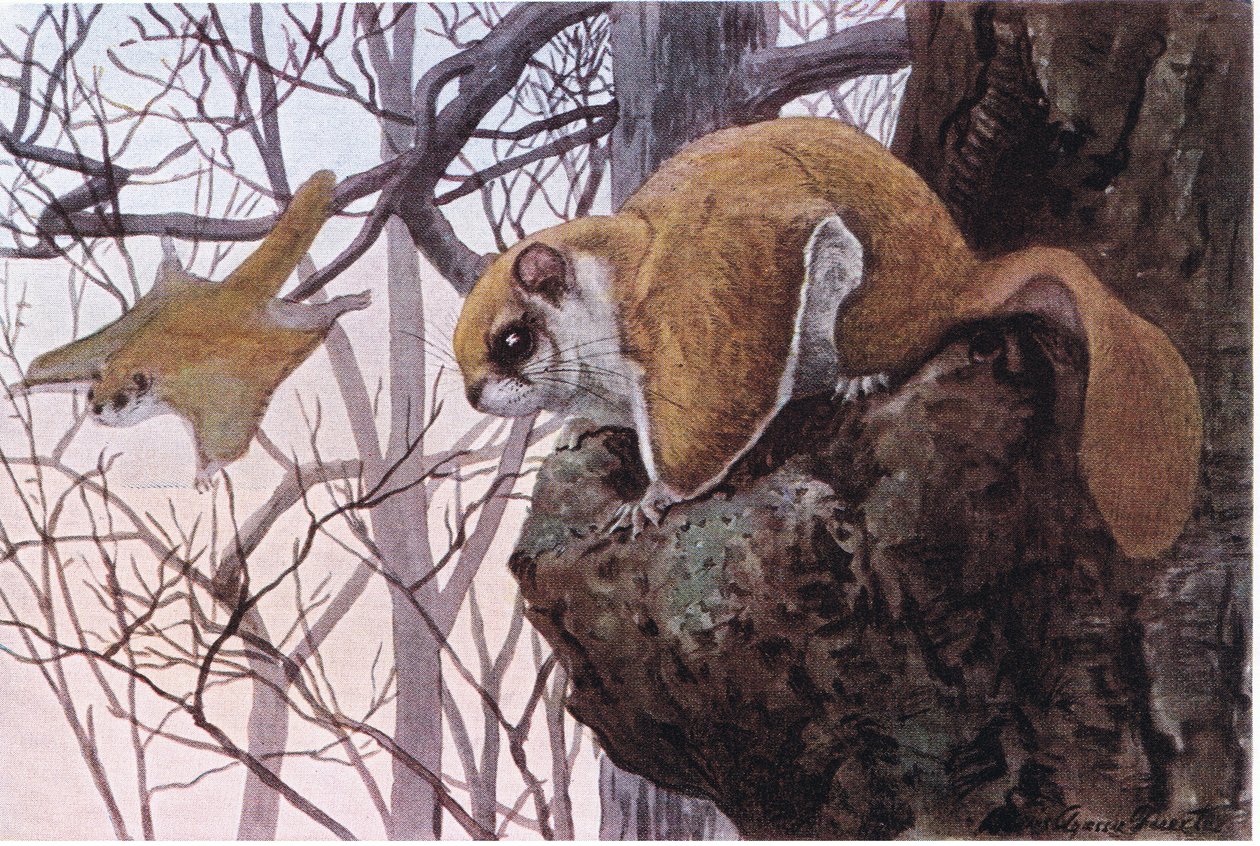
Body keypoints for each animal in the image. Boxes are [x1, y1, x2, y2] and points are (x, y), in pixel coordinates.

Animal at [22, 170, 370, 489]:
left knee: (319, 323)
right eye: (92, 394)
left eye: (118, 400)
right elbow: (43, 371)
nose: (94, 410)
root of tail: (232, 293)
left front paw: (206, 471)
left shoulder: (213, 394)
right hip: (171, 295)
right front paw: (22, 387)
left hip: (279, 337)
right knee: (173, 275)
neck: (144, 365)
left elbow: (226, 444)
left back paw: (342, 304)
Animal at [453, 117, 1202, 558]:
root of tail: (963, 278)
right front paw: (579, 425)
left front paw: (651, 499)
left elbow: (708, 413)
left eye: (513, 341)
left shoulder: (702, 301)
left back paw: (859, 376)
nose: (474, 397)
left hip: (857, 308)